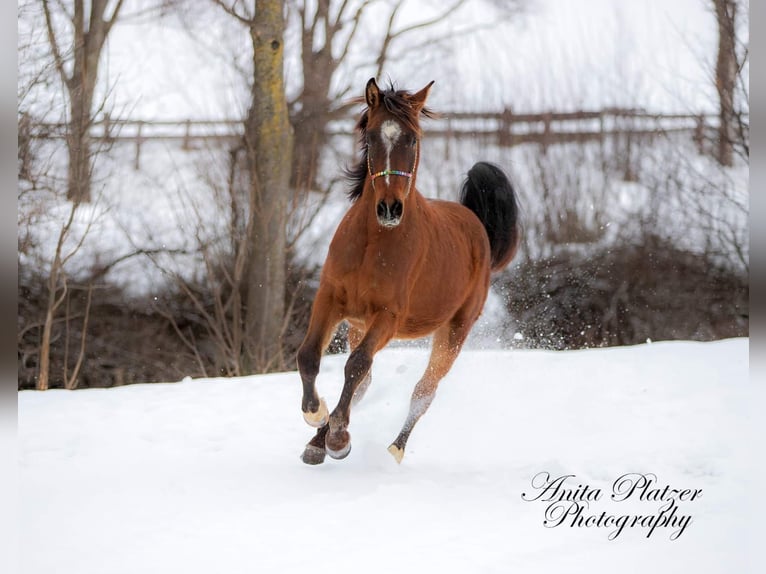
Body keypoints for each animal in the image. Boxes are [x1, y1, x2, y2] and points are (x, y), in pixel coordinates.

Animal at [296, 76, 520, 466]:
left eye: (412, 139)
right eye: (371, 137)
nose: (389, 208)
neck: (374, 243)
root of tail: (477, 225)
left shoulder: (389, 315)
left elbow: (355, 365)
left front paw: (339, 438)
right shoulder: (332, 299)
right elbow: (310, 356)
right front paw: (316, 419)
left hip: (454, 332)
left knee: (424, 391)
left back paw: (395, 448)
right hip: (359, 325)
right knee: (367, 383)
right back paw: (320, 439)